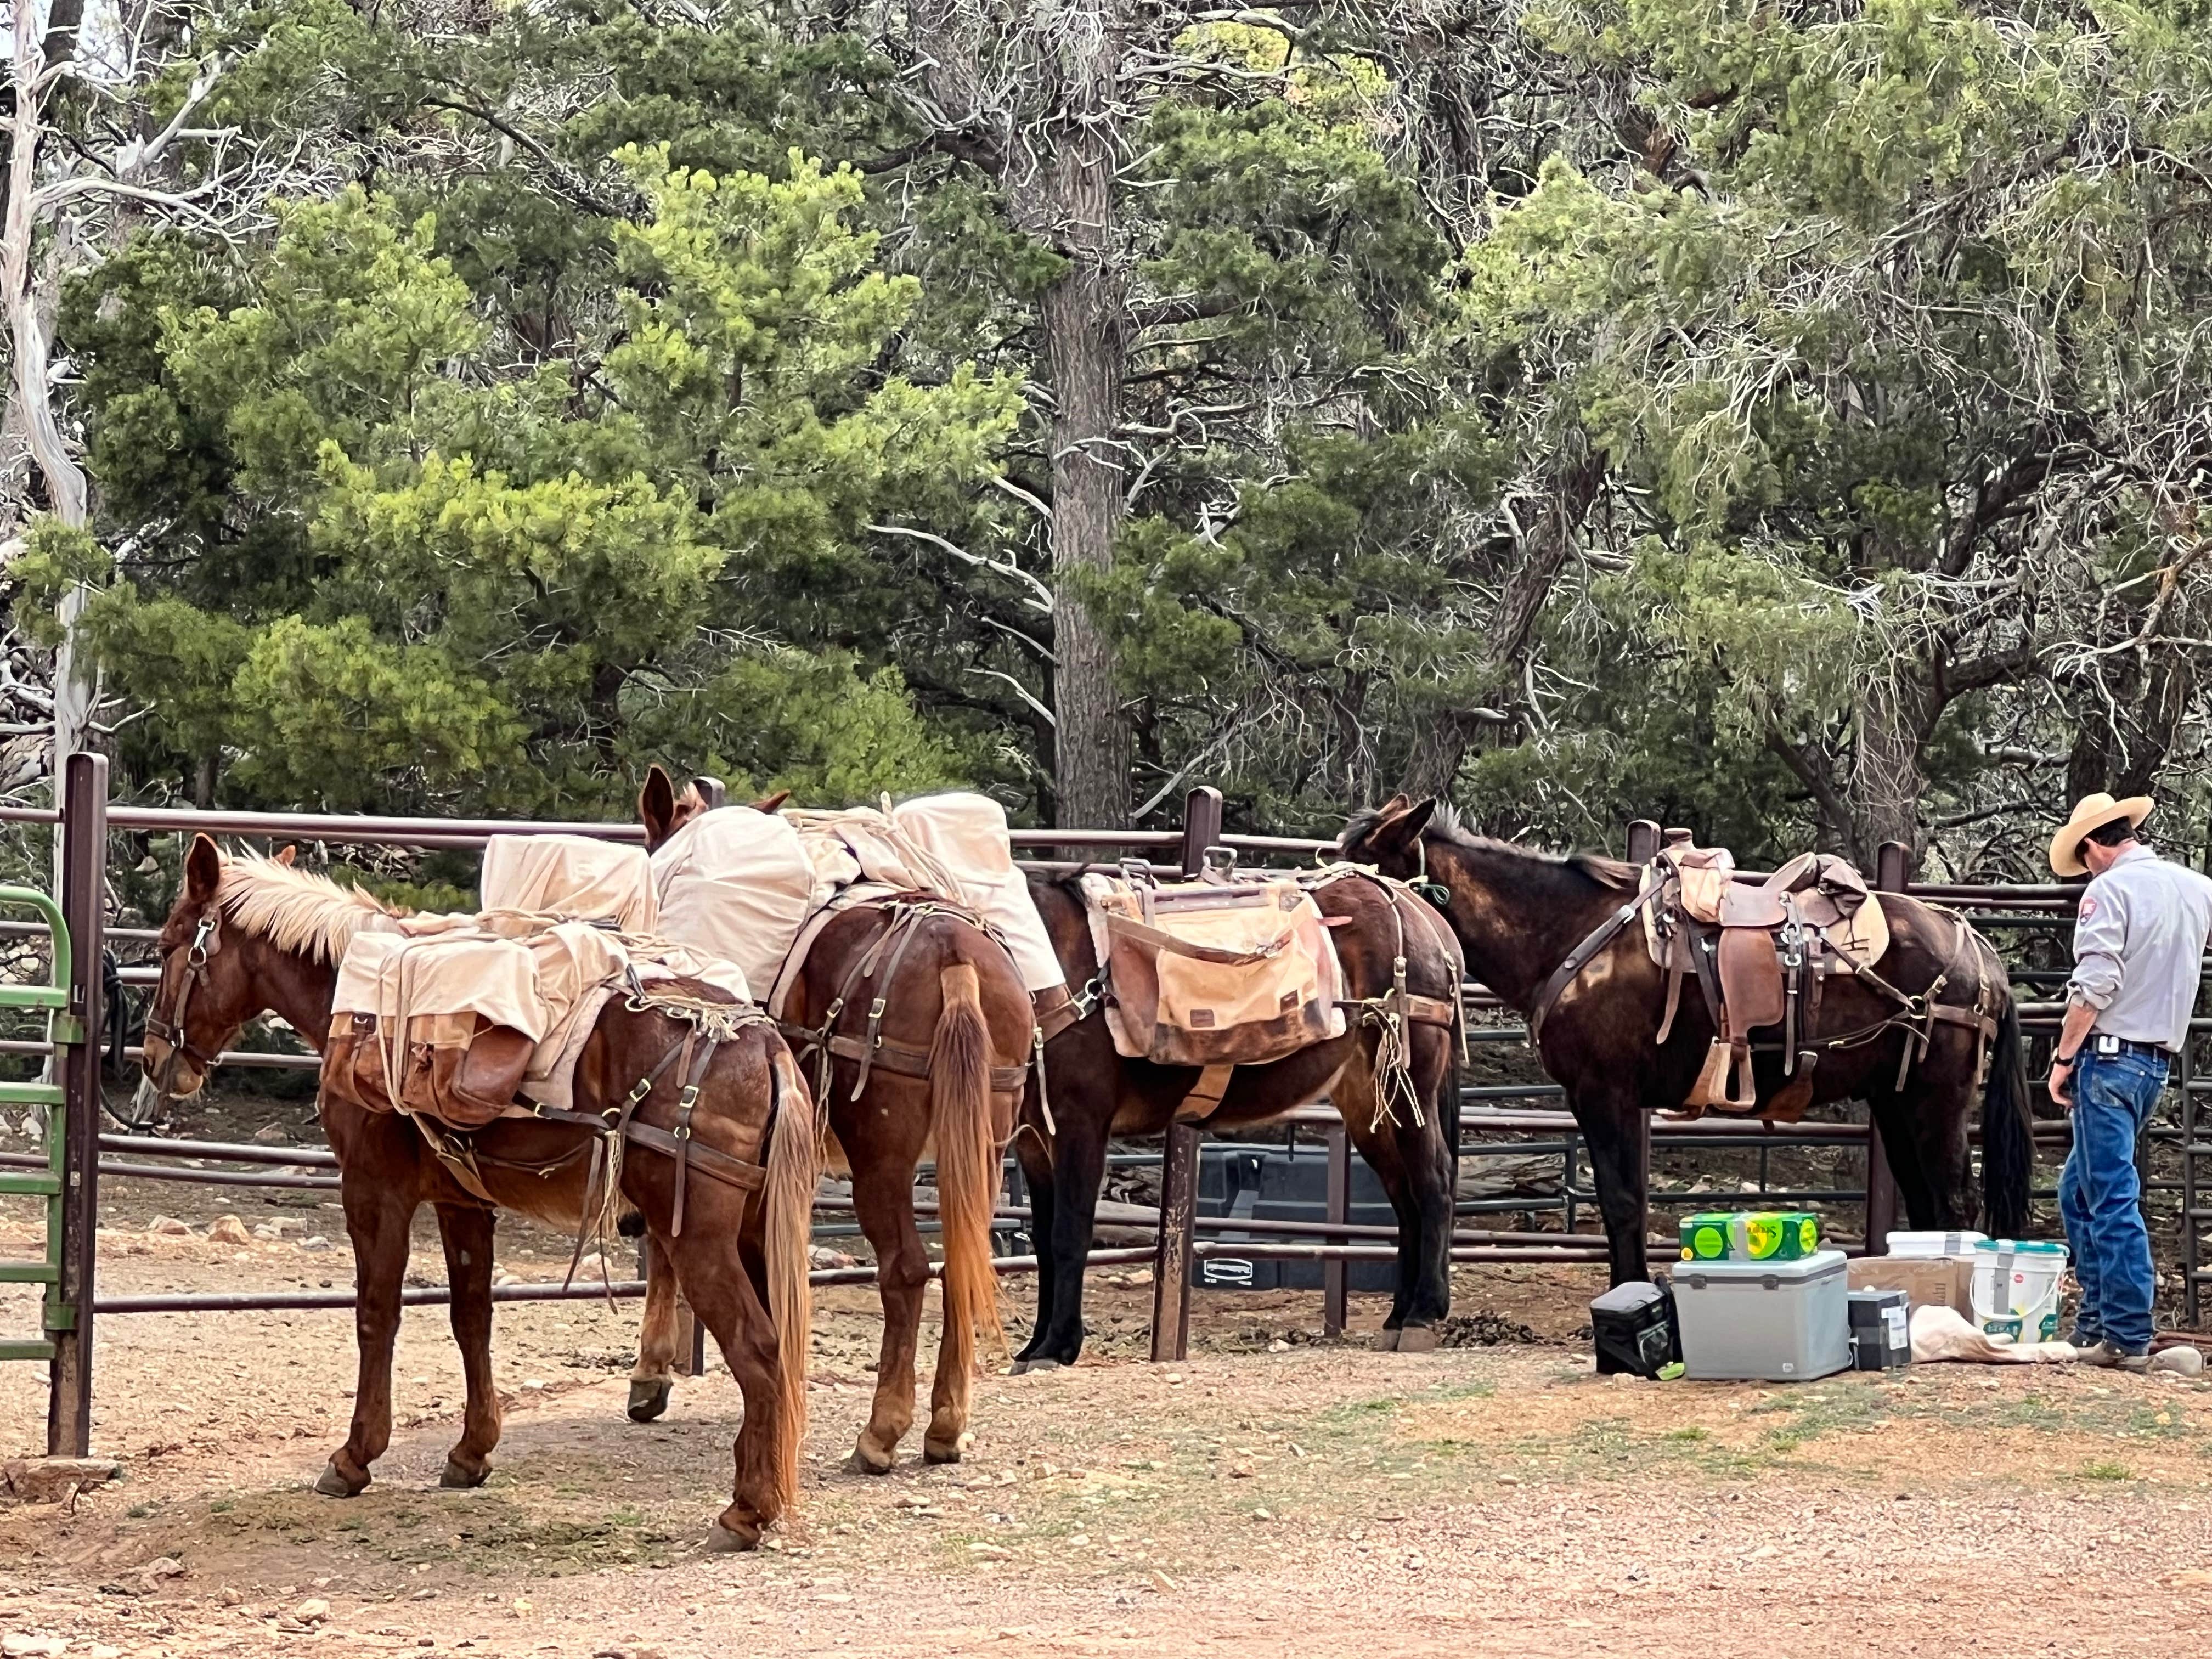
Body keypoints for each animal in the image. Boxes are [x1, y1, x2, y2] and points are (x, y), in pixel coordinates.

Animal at [137, 835, 818, 1550]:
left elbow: (376, 1315)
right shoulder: (461, 1202)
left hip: (700, 1240)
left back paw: (745, 1511)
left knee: (758, 1349)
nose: (154, 1059)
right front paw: (471, 1452)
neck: (363, 1003)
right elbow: (472, 1319)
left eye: (169, 945)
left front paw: (354, 1458)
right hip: (752, 1235)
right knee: (779, 1353)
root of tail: (765, 1047)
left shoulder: (374, 1193)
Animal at [636, 768, 1034, 1471]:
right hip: (980, 1151)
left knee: (905, 1269)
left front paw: (651, 1376)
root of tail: (954, 956)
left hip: (882, 1161)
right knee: (962, 1263)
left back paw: (882, 1432)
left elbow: (670, 1248)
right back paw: (946, 1426)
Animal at [1337, 797, 2035, 1288]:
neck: (1570, 934)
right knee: (1930, 1205)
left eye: (1367, 869)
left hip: (1936, 1102)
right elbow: (1628, 1201)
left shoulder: (1604, 1093)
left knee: (1955, 1201)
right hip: (1896, 1101)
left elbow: (1621, 1201)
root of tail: (1975, 947)